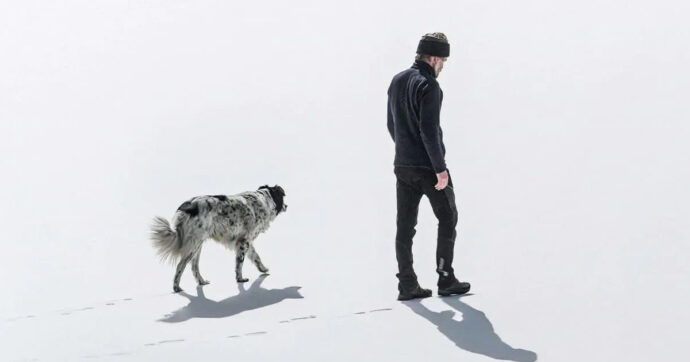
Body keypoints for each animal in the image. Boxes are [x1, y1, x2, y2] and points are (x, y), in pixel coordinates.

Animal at [150, 185, 288, 292]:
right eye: (282, 197)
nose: (287, 206)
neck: (264, 199)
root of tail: (189, 206)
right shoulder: (243, 241)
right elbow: (240, 263)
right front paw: (240, 279)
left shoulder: (246, 241)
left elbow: (256, 257)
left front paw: (263, 269)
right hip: (194, 245)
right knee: (180, 265)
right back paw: (176, 287)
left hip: (197, 245)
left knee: (194, 267)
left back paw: (201, 282)